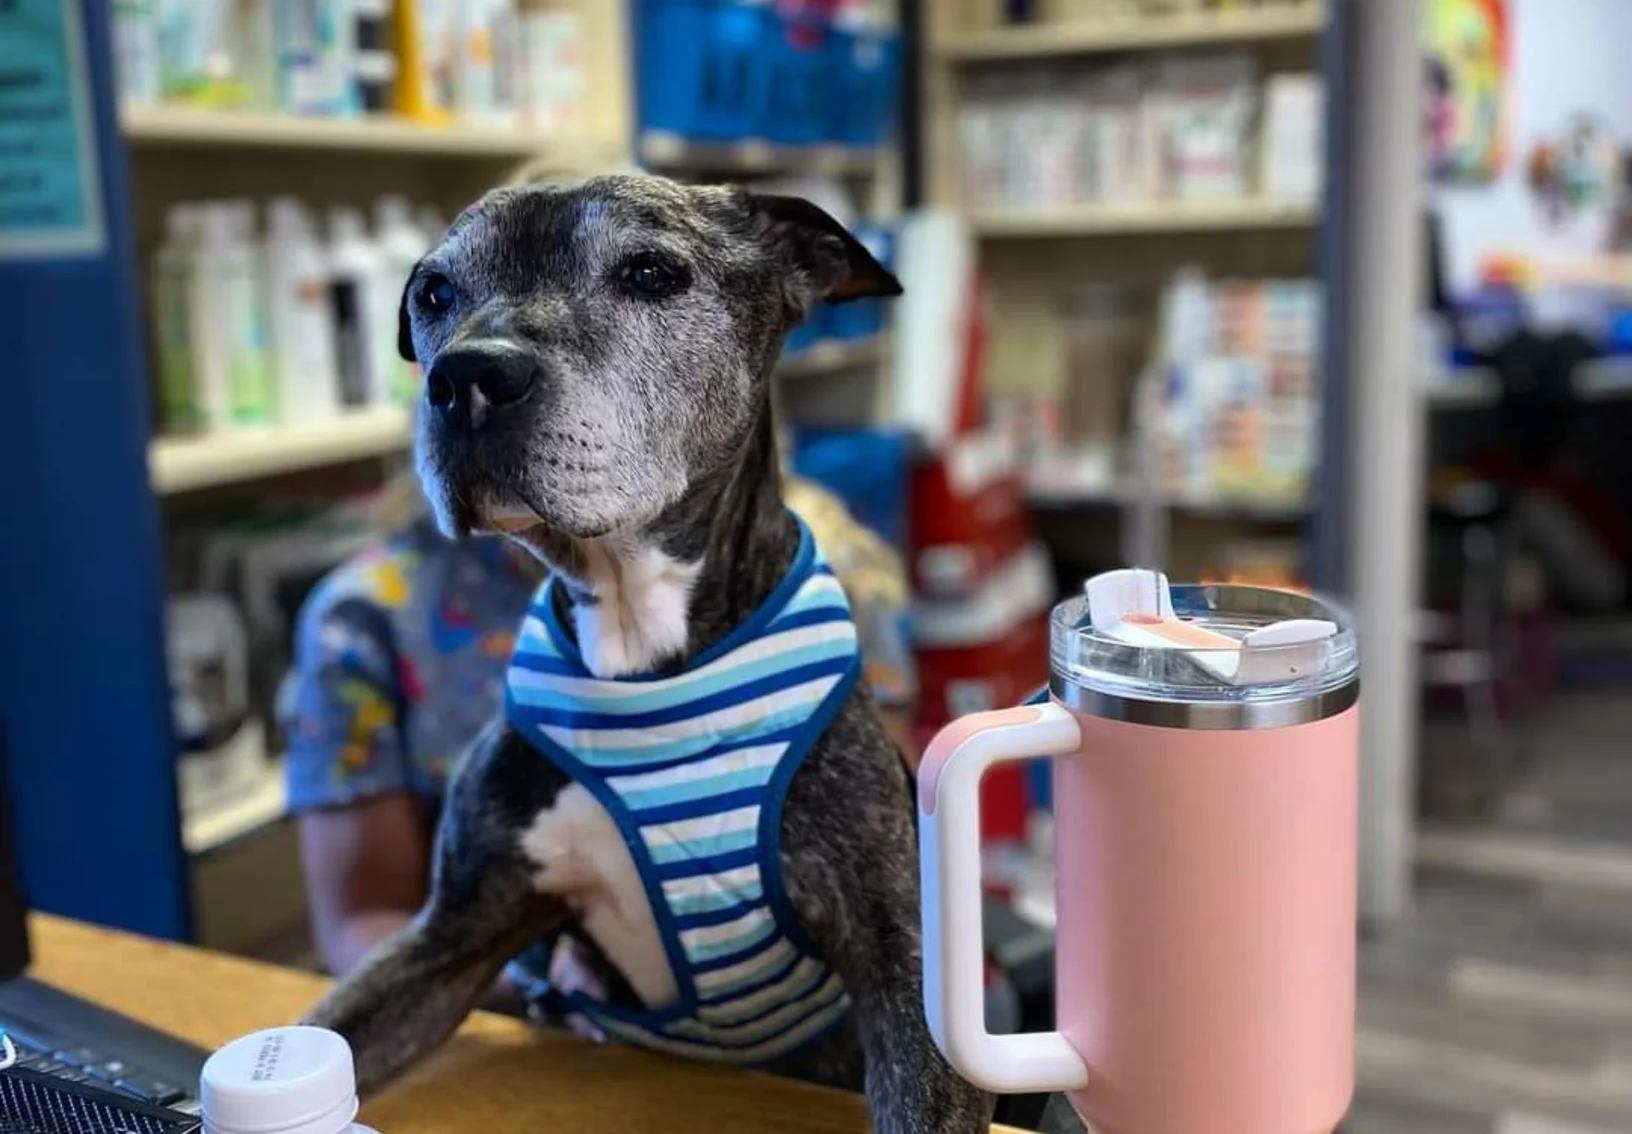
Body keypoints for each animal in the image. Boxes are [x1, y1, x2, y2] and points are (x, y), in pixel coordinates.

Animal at [310, 170, 985, 1134]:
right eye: (434, 294)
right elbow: (325, 1028)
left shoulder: (903, 965)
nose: (467, 377)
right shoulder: (451, 936)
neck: (640, 648)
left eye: (651, 273)